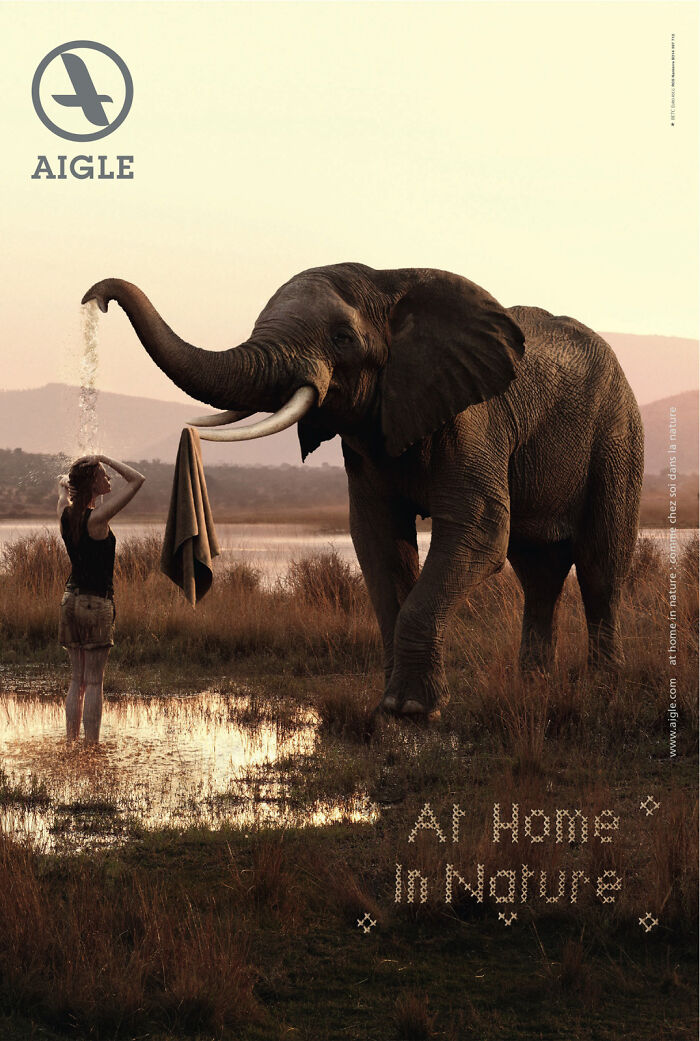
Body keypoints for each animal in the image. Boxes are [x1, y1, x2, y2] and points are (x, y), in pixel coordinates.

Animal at [82, 264, 644, 718]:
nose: (97, 298)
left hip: (618, 433)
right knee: (538, 572)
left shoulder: (472, 417)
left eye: (342, 338)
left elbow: (480, 530)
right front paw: (392, 706)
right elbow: (377, 539)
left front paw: (414, 710)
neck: (388, 280)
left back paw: (603, 689)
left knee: (601, 563)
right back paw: (534, 687)